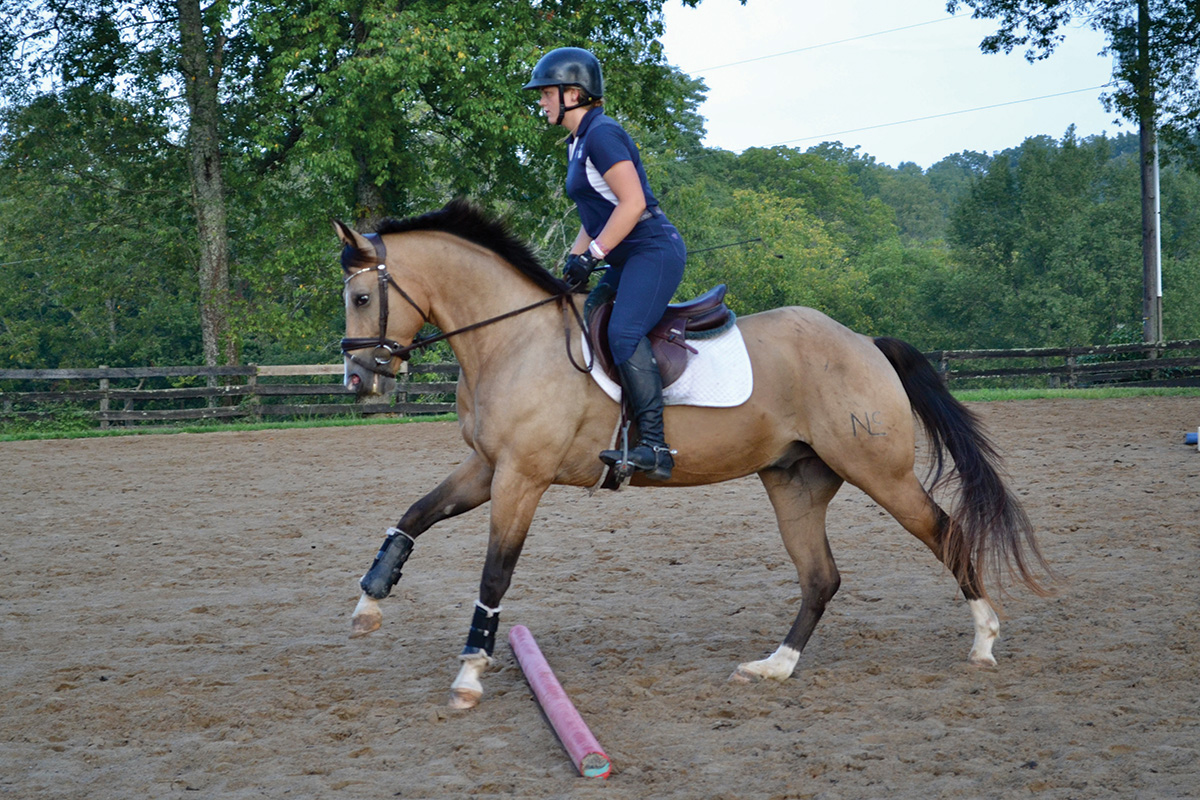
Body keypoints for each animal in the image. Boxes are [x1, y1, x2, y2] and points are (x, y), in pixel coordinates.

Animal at [333, 199, 1046, 705]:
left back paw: (984, 640)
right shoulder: (489, 467)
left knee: (945, 532)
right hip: (794, 481)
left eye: (362, 297)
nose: (358, 380)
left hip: (879, 470)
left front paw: (471, 672)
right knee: (822, 577)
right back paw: (774, 667)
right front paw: (370, 601)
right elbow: (415, 514)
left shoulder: (521, 477)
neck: (514, 339)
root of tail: (863, 342)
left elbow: (494, 573)